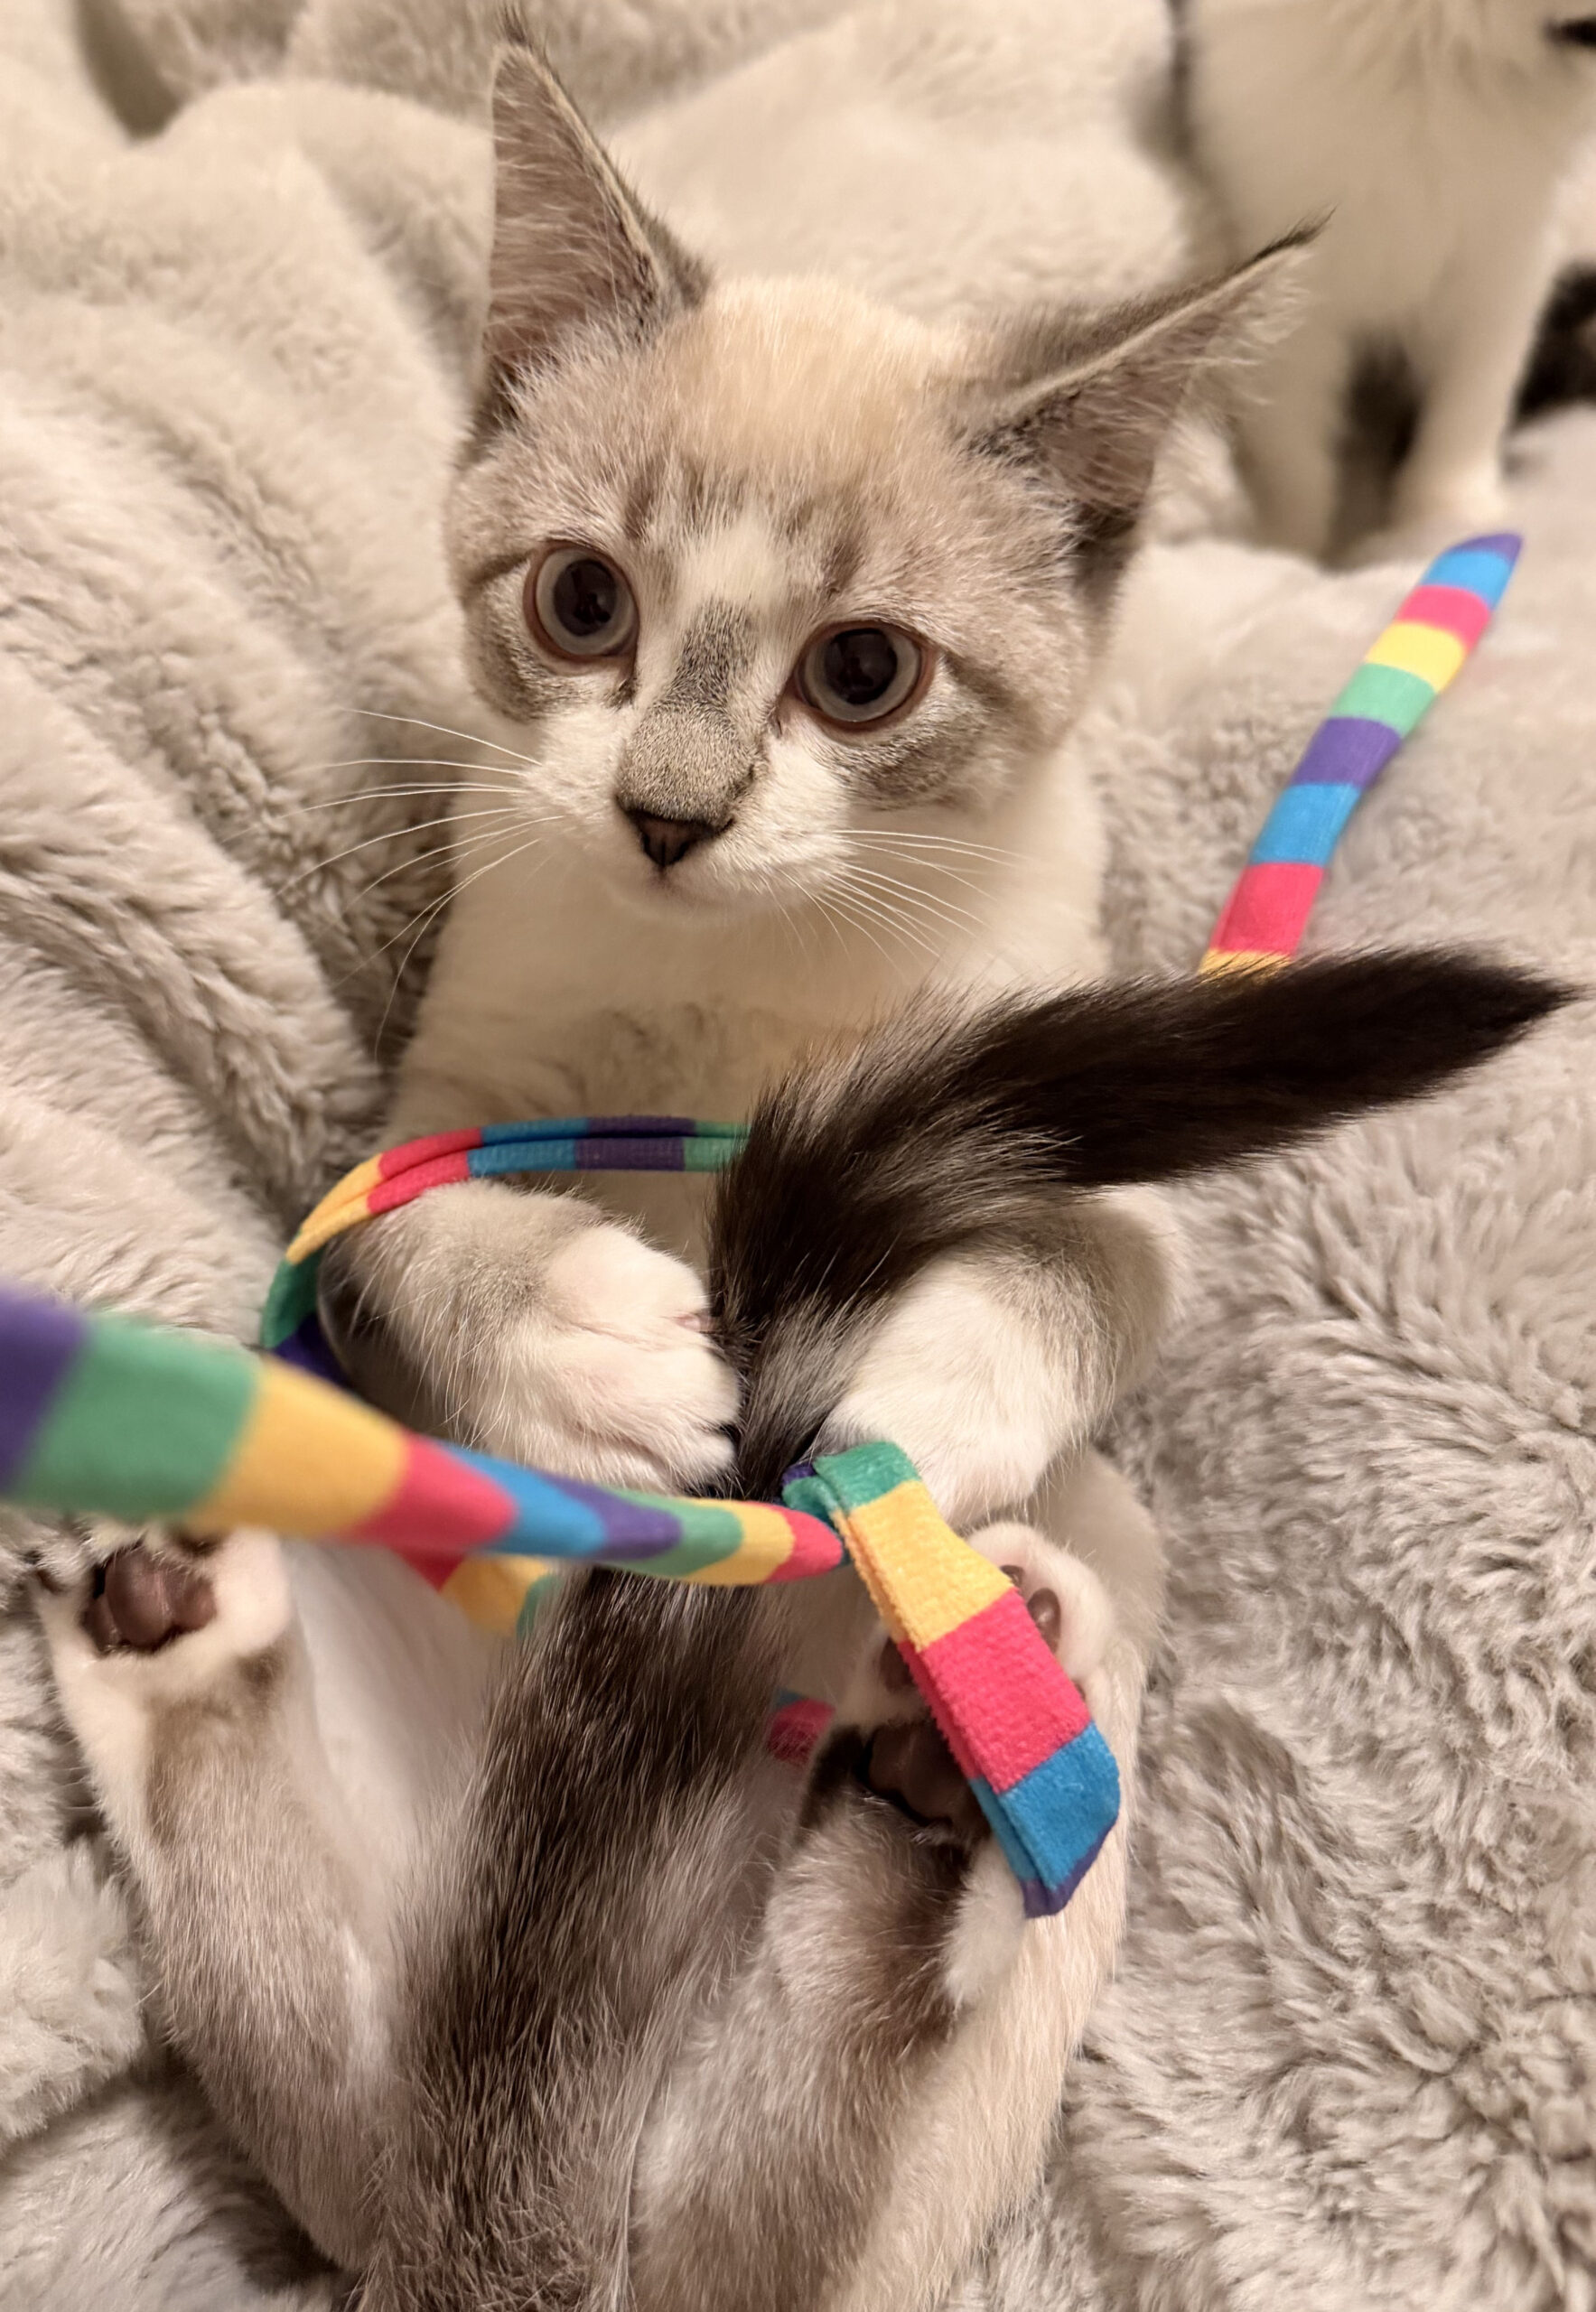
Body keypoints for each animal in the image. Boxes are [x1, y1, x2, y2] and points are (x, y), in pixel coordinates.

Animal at [1180, 0, 1596, 559]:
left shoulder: (1509, 257)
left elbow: (1473, 394)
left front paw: (1445, 516)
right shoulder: (1282, 255)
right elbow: (1290, 445)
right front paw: (1289, 545)